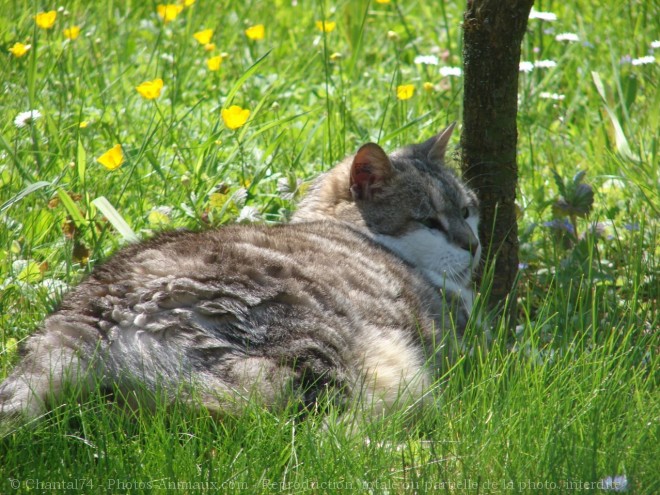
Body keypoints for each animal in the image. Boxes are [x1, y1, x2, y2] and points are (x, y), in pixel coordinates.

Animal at [0, 124, 480, 426]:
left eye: (467, 210)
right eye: (429, 221)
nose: (474, 246)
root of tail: (87, 313)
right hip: (306, 348)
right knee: (315, 434)